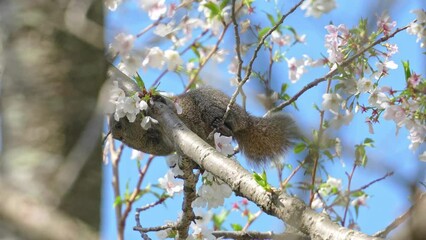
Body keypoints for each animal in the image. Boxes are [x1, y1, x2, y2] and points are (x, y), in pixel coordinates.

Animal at [111, 87, 302, 166]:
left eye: (119, 123)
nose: (114, 134)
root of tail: (247, 120)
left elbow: (170, 105)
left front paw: (156, 98)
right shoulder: (157, 143)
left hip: (210, 102)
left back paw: (221, 125)